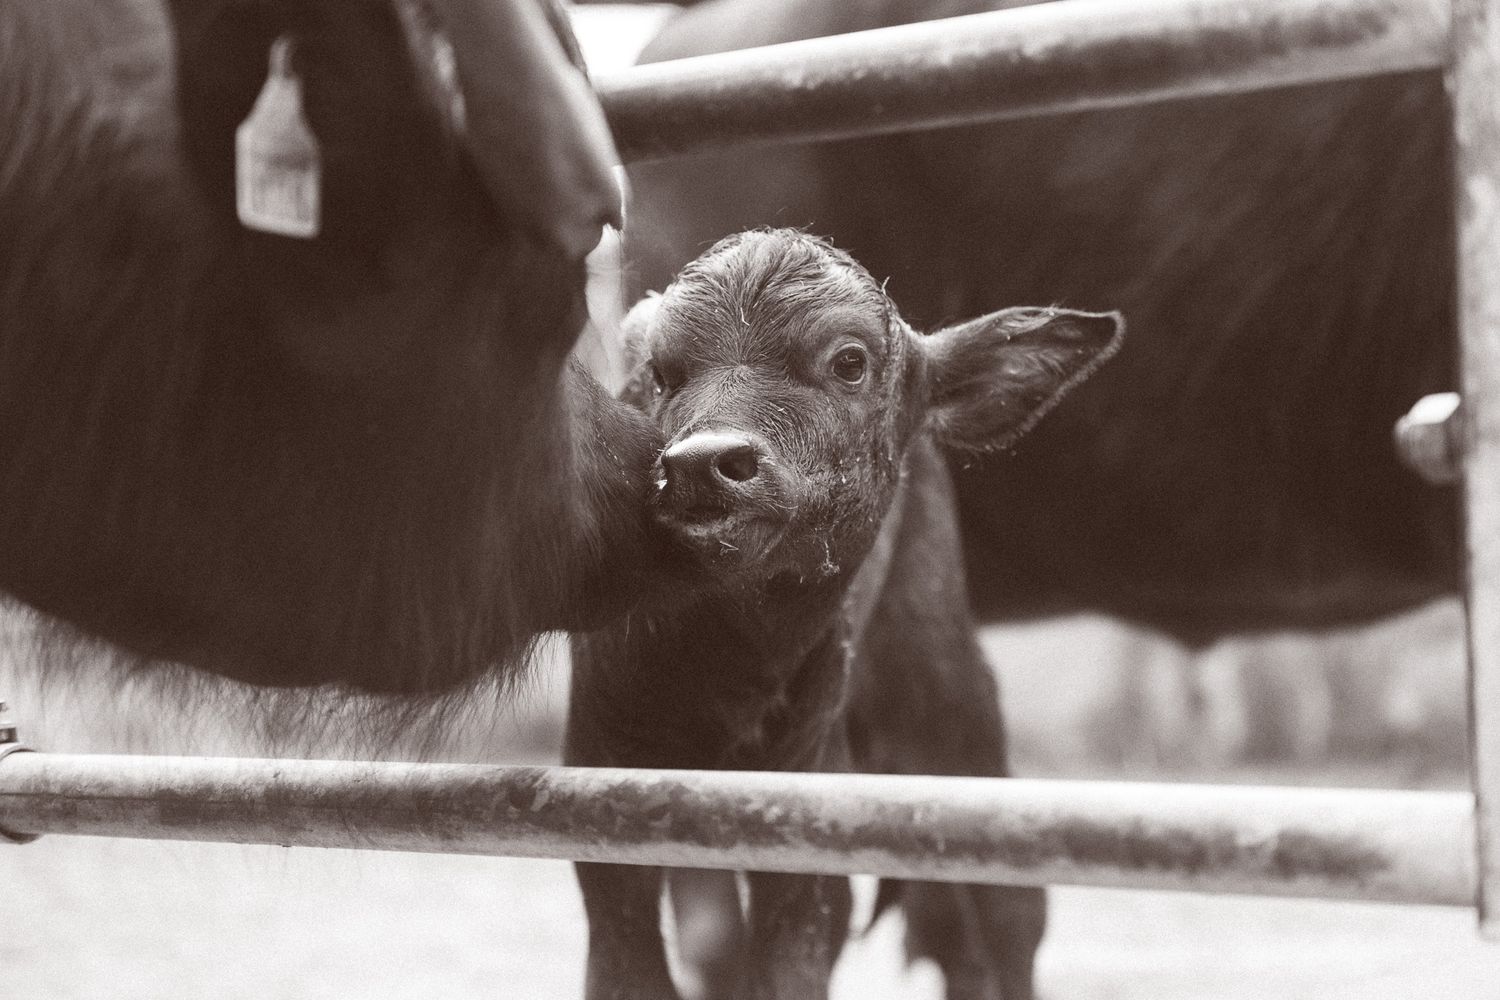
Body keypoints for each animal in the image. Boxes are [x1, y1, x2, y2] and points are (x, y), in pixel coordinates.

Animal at [567, 229, 1124, 1000]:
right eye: (662, 372)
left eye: (850, 362)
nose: (703, 464)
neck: (727, 670)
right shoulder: (602, 782)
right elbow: (639, 967)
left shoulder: (806, 810)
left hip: (950, 698)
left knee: (1009, 910)